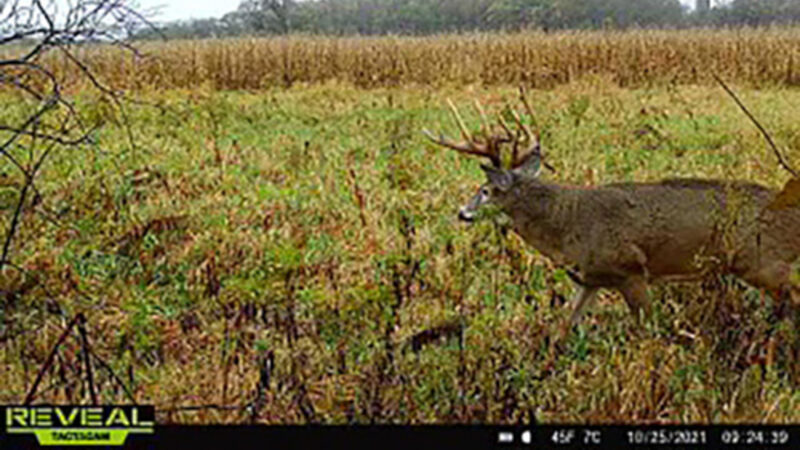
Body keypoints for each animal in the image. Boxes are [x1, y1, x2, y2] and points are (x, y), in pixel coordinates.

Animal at [422, 92, 796, 338]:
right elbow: (565, 327)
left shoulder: (631, 270)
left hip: (763, 262)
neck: (567, 224)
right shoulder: (590, 279)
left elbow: (649, 332)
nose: (461, 212)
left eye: (485, 190)